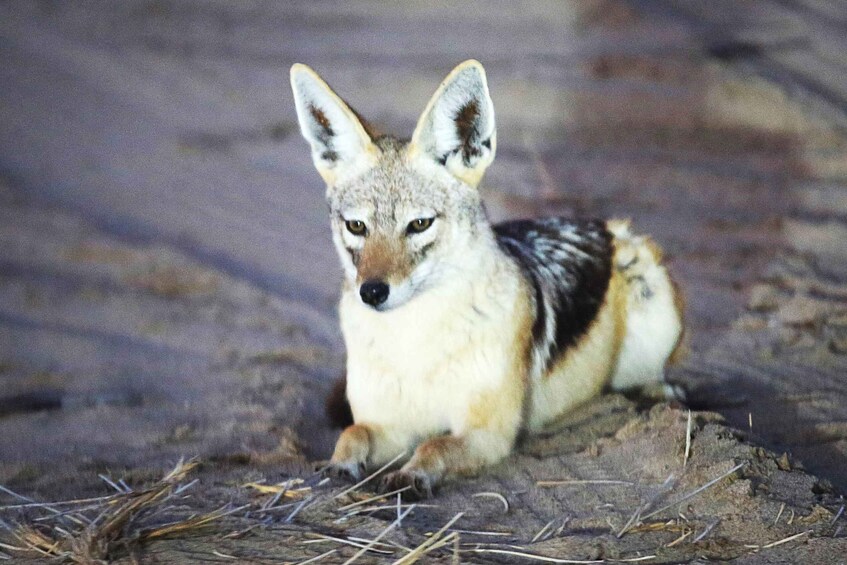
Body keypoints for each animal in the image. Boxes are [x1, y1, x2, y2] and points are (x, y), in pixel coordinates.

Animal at [290, 60, 684, 499]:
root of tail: (603, 225)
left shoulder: (488, 433)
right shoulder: (389, 426)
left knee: (651, 380)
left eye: (419, 224)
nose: (372, 292)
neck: (414, 341)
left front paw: (412, 475)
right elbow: (353, 433)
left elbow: (434, 444)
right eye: (357, 226)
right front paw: (337, 467)